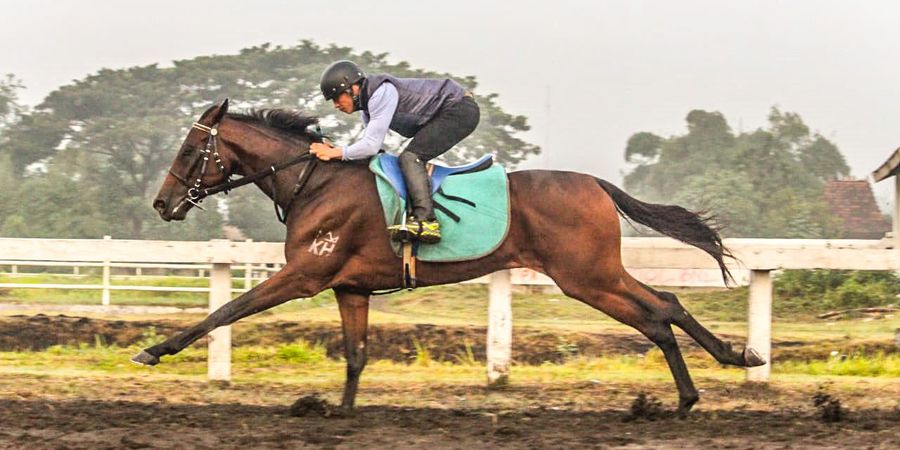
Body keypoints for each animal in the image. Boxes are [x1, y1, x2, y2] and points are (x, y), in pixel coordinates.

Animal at [137, 98, 764, 414]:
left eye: (191, 150)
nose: (162, 203)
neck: (314, 182)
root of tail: (595, 184)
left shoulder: (305, 274)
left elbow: (226, 311)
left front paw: (155, 349)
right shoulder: (350, 286)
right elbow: (356, 355)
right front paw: (340, 412)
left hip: (585, 275)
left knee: (657, 312)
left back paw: (704, 381)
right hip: (594, 273)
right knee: (665, 307)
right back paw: (719, 371)